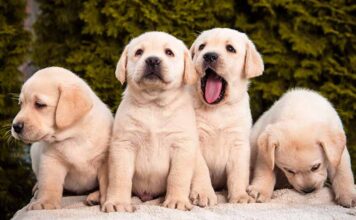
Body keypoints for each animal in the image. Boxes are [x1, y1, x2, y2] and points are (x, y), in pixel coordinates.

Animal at [12, 67, 112, 210]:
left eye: (39, 104)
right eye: (20, 104)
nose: (15, 126)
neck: (74, 136)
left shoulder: (105, 161)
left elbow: (106, 183)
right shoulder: (51, 160)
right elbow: (49, 184)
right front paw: (45, 202)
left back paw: (95, 197)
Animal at [102, 31, 214, 212]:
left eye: (169, 52)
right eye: (139, 52)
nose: (152, 60)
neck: (153, 104)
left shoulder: (181, 146)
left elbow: (177, 177)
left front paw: (176, 200)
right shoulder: (123, 145)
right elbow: (120, 177)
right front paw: (118, 202)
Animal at [189, 28, 264, 204]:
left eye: (230, 48)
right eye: (202, 47)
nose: (209, 55)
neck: (217, 109)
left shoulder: (239, 144)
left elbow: (238, 173)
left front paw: (240, 196)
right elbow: (201, 169)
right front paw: (203, 193)